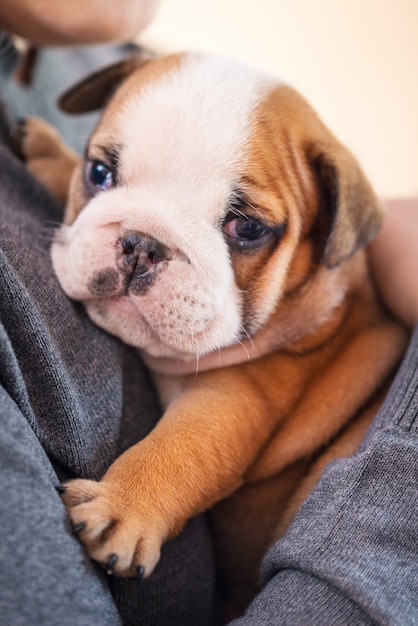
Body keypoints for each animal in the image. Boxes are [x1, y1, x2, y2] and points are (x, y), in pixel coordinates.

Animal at [23, 51, 408, 608]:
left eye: (246, 228)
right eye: (99, 172)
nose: (141, 244)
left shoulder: (243, 392)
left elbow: (183, 446)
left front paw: (121, 507)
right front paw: (47, 151)